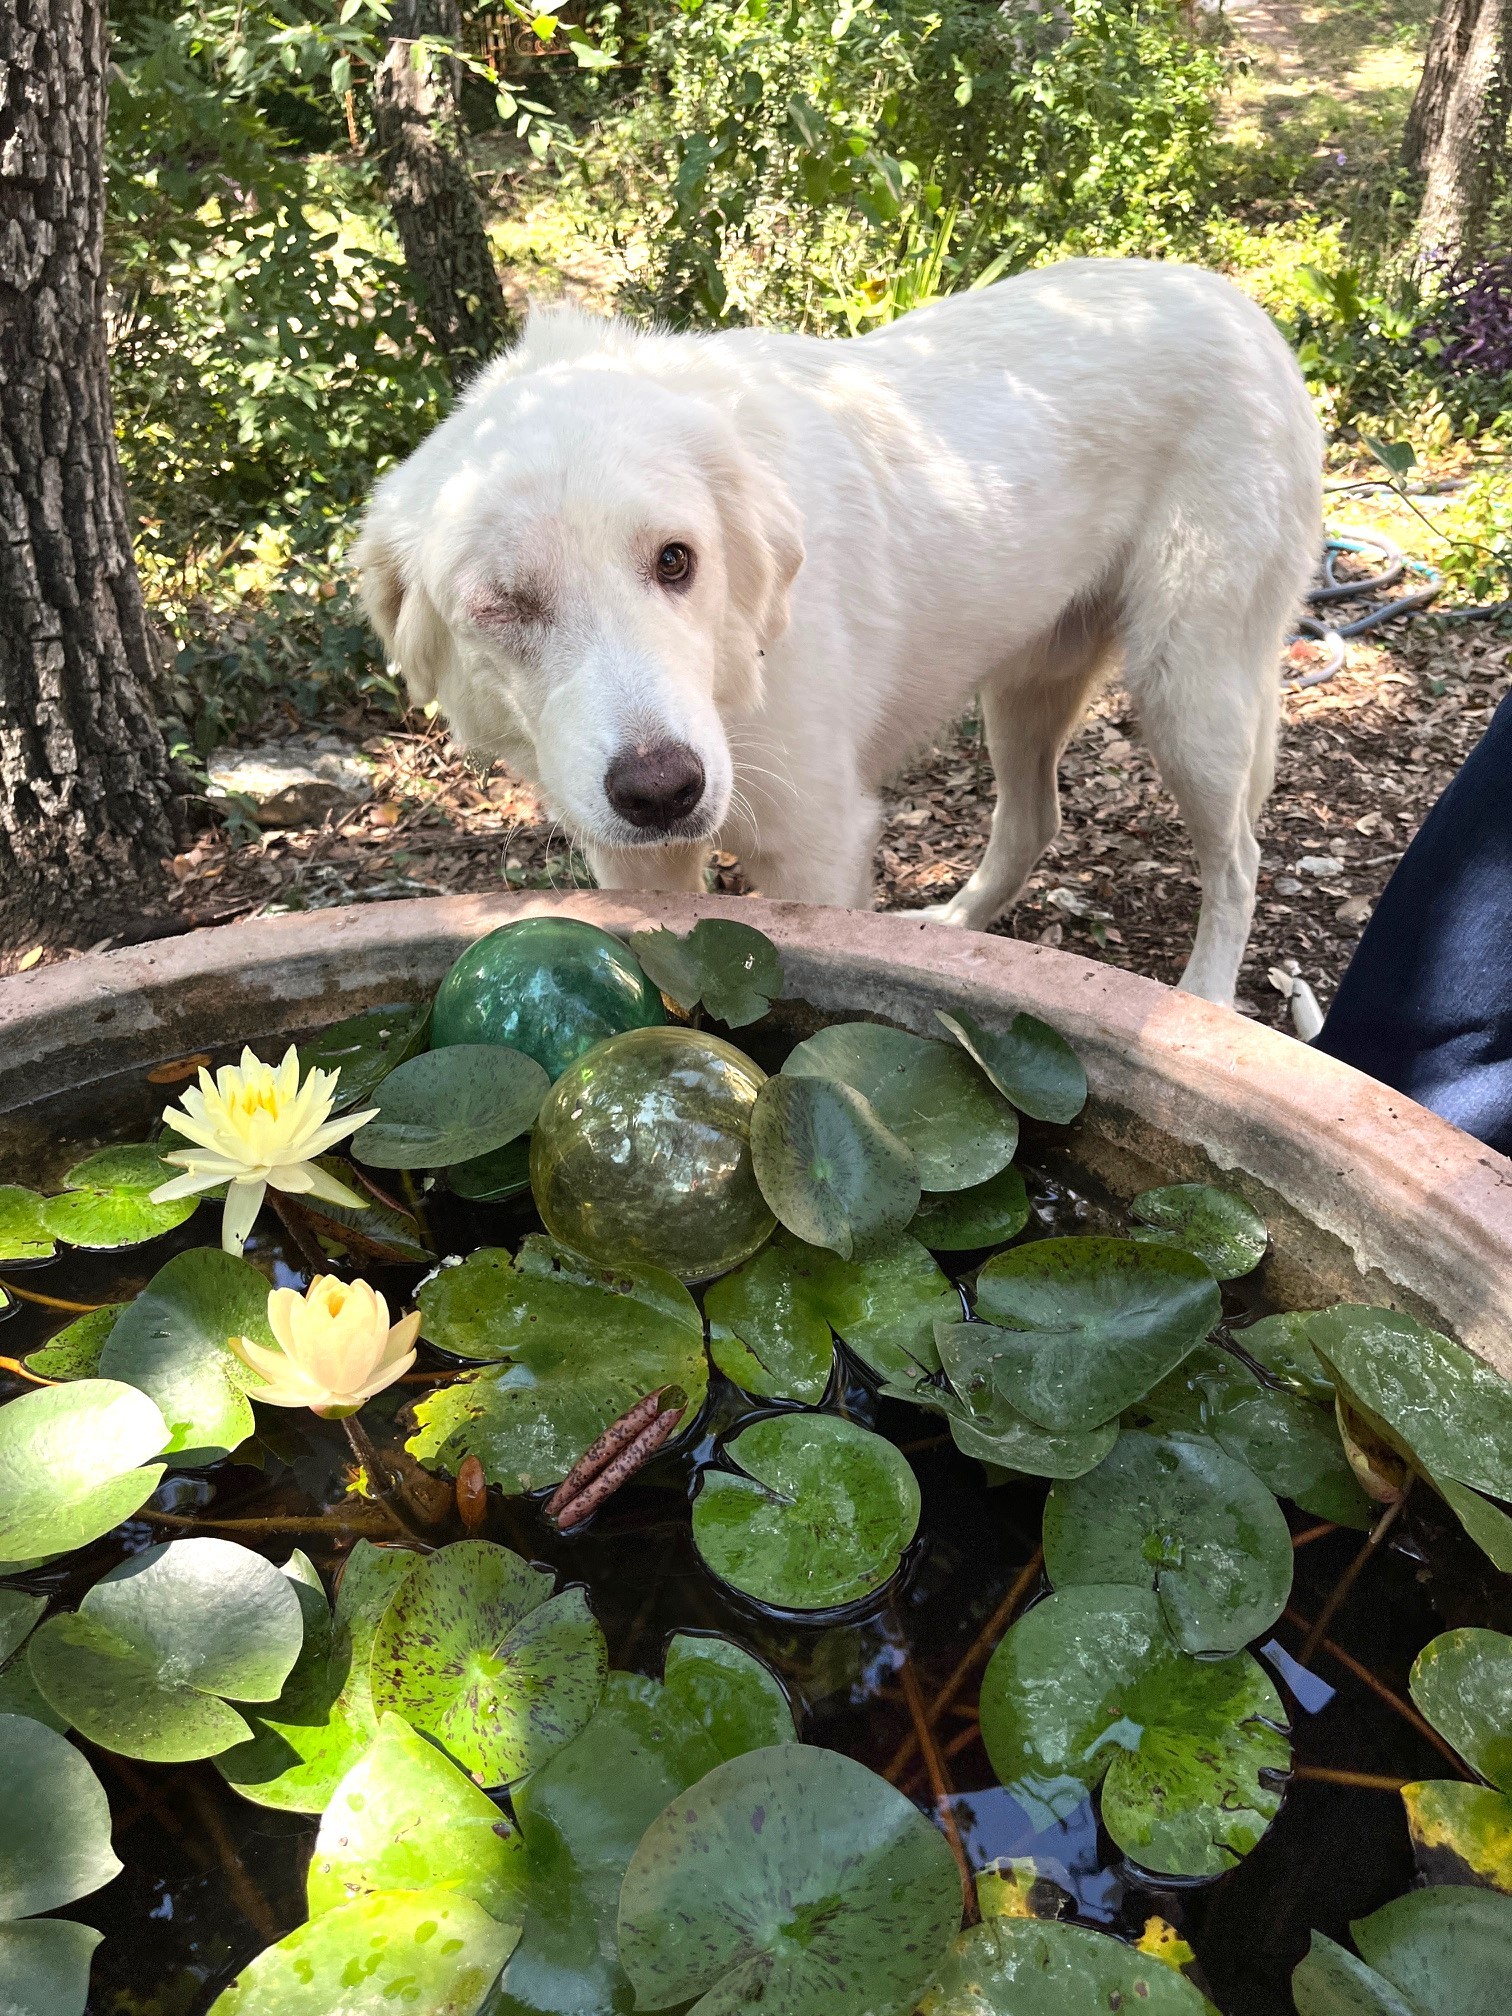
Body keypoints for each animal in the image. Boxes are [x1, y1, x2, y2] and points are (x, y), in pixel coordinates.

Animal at [360, 260, 1322, 999]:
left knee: (1240, 862)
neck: (734, 677)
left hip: (1188, 697)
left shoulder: (816, 852)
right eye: (504, 606)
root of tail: (1241, 307)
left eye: (675, 561)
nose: (663, 791)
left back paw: (1206, 1003)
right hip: (1024, 692)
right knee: (1032, 824)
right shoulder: (631, 865)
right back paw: (949, 931)